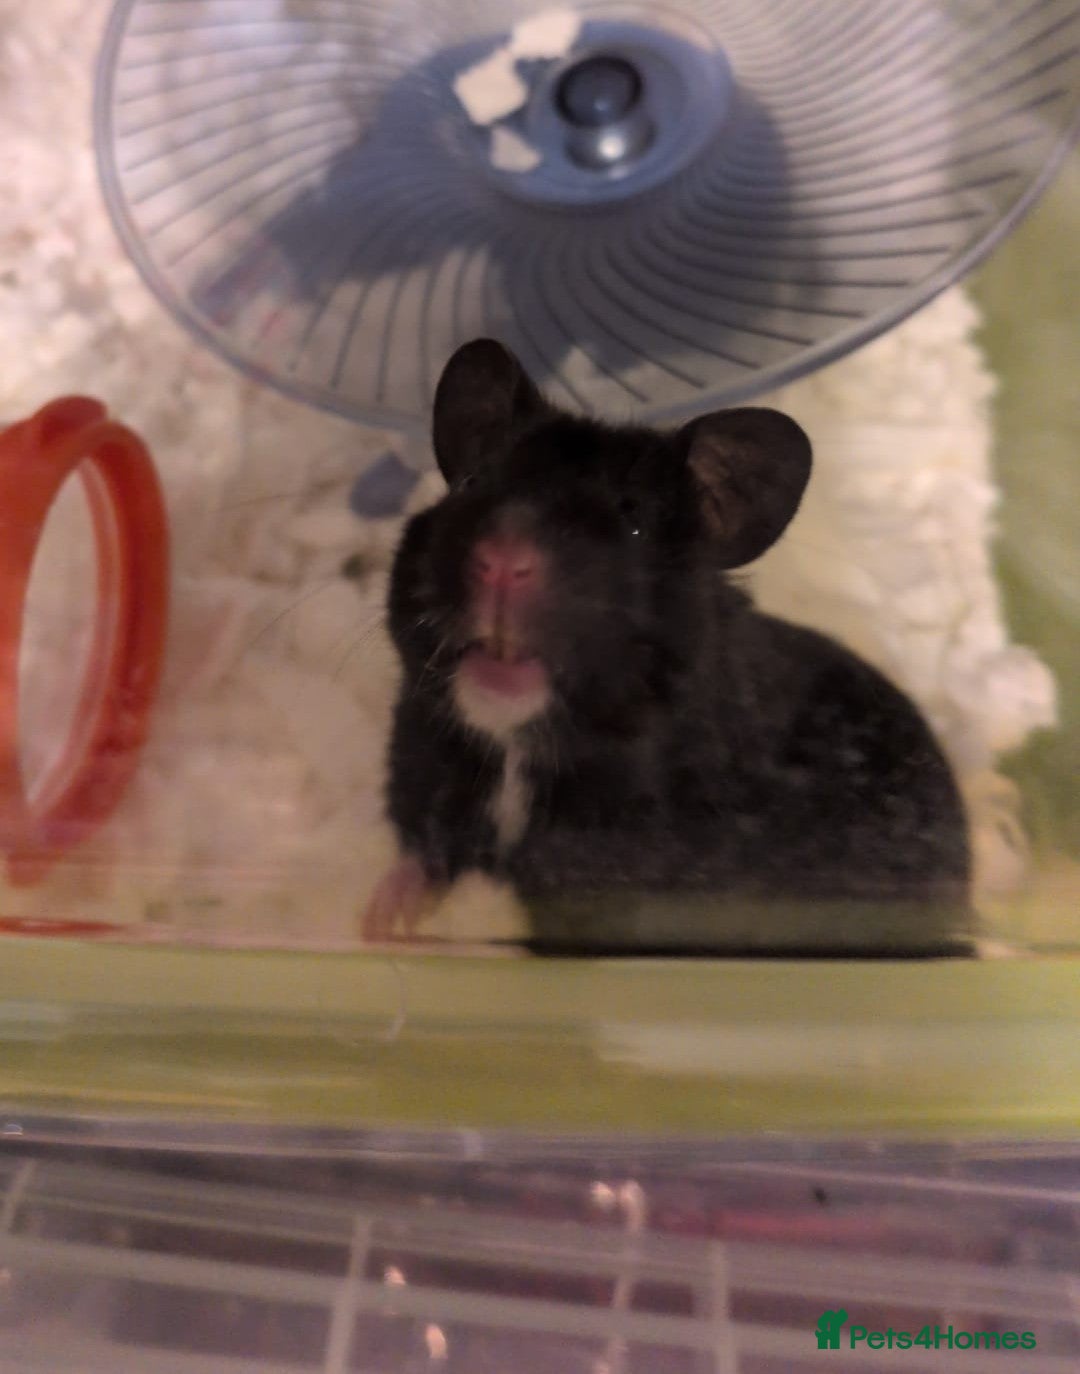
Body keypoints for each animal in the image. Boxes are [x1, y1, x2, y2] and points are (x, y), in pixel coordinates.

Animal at [364, 340, 972, 956]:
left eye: (633, 519)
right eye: (472, 484)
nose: (503, 560)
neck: (519, 745)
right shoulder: (424, 775)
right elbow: (423, 860)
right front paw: (379, 928)